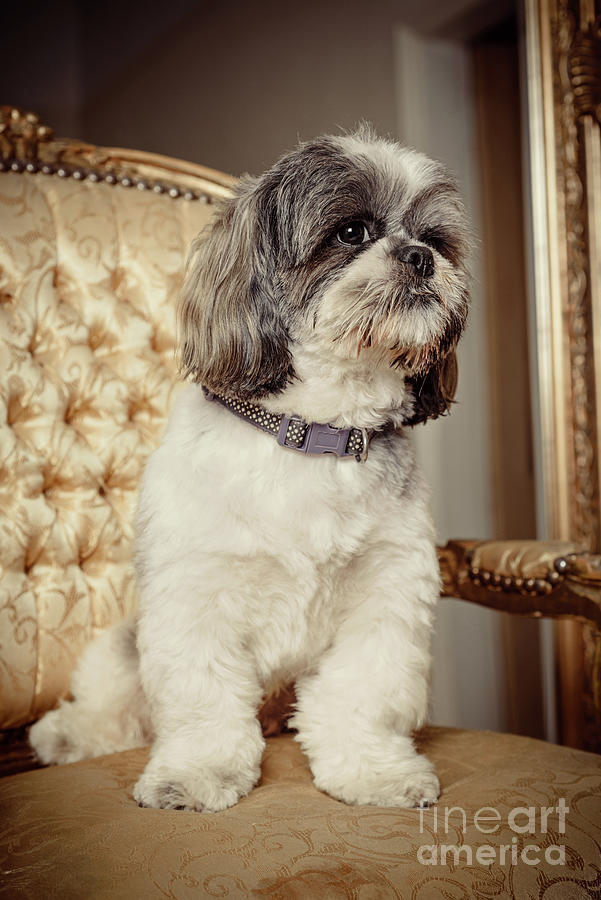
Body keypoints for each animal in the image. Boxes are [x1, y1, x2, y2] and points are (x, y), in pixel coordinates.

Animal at [29, 128, 468, 816]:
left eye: (437, 239)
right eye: (351, 233)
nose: (421, 257)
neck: (312, 436)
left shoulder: (387, 595)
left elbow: (361, 695)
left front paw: (373, 772)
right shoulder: (194, 595)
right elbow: (202, 703)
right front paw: (195, 775)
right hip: (121, 646)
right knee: (115, 708)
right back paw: (68, 734)